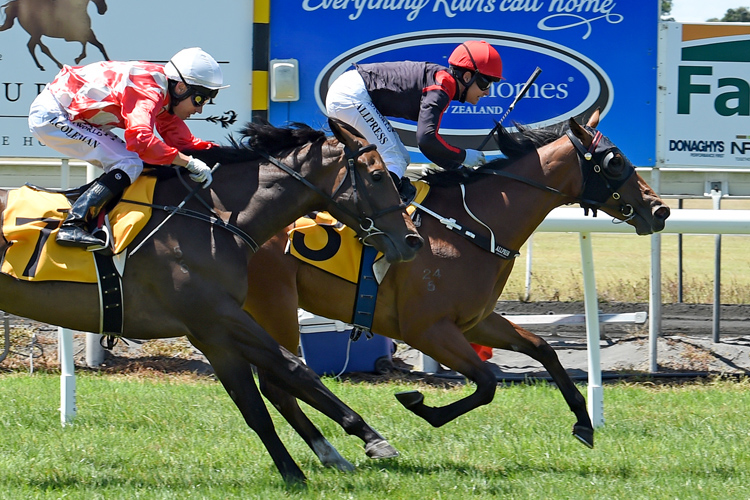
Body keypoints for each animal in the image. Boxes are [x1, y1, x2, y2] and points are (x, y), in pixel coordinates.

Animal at [0, 118, 424, 484]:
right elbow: (293, 369)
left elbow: (254, 405)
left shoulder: (212, 335)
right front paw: (371, 438)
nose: (412, 241)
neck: (214, 218)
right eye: (377, 175)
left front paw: (295, 473)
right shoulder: (215, 317)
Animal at [244, 110, 672, 468]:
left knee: (277, 385)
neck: (473, 227)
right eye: (615, 161)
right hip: (276, 306)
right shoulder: (426, 329)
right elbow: (486, 382)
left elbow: (542, 350)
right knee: (280, 382)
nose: (661, 209)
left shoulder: (474, 321)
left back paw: (330, 453)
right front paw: (420, 404)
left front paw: (583, 422)